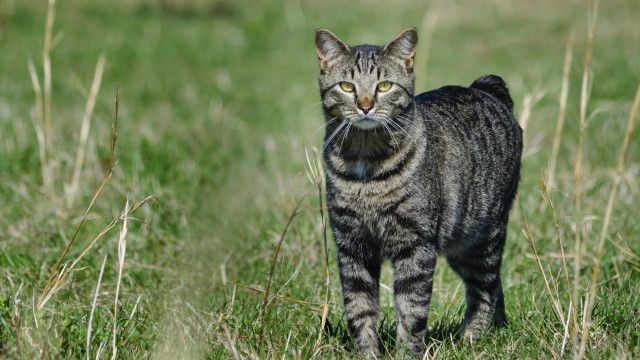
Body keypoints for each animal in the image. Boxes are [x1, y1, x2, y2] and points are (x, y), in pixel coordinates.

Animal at [314, 28, 520, 358]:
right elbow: (359, 310)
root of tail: (483, 88)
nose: (365, 105)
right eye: (347, 86)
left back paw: (471, 339)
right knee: (495, 286)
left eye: (384, 86)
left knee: (485, 291)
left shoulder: (416, 245)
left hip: (483, 238)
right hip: (460, 244)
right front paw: (367, 353)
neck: (366, 168)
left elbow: (411, 310)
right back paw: (494, 331)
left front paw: (407, 352)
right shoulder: (352, 246)